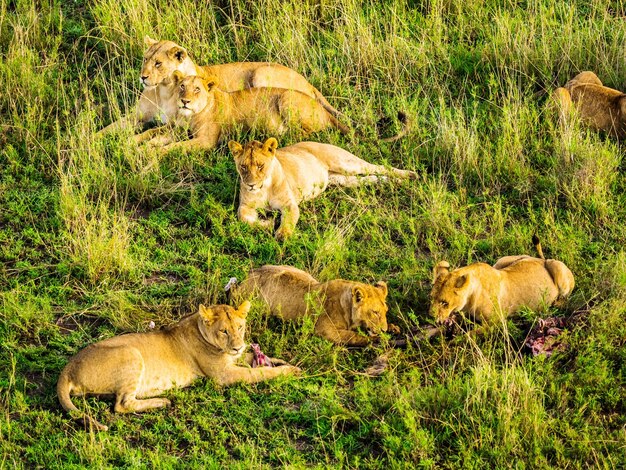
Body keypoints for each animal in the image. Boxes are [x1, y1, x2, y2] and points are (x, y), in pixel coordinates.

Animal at [55, 302, 298, 432]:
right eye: (224, 331)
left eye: (240, 327)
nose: (237, 346)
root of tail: (68, 368)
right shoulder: (224, 374)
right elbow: (259, 373)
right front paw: (290, 371)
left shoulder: (231, 361)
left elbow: (253, 360)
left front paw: (279, 361)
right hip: (131, 354)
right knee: (122, 404)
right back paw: (163, 401)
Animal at [98, 36, 342, 134]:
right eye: (145, 59)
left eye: (158, 63)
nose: (143, 77)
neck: (164, 90)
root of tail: (309, 83)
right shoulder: (136, 116)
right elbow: (106, 130)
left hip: (262, 74)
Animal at [228, 136, 414, 239]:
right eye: (243, 167)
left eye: (260, 166)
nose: (251, 185)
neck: (264, 188)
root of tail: (319, 142)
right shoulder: (245, 206)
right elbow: (243, 218)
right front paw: (268, 223)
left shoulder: (289, 204)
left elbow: (289, 220)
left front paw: (283, 235)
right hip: (341, 179)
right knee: (369, 178)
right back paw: (392, 182)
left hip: (345, 163)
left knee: (378, 167)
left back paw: (409, 175)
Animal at [234, 264, 394, 346]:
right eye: (375, 312)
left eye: (385, 311)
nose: (384, 329)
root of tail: (250, 273)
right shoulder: (325, 330)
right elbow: (352, 336)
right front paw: (381, 338)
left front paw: (393, 328)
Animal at [426, 239, 572, 326]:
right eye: (431, 298)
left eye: (444, 303)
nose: (430, 317)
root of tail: (541, 260)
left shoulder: (496, 323)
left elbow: (470, 336)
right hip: (501, 261)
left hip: (557, 266)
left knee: (565, 297)